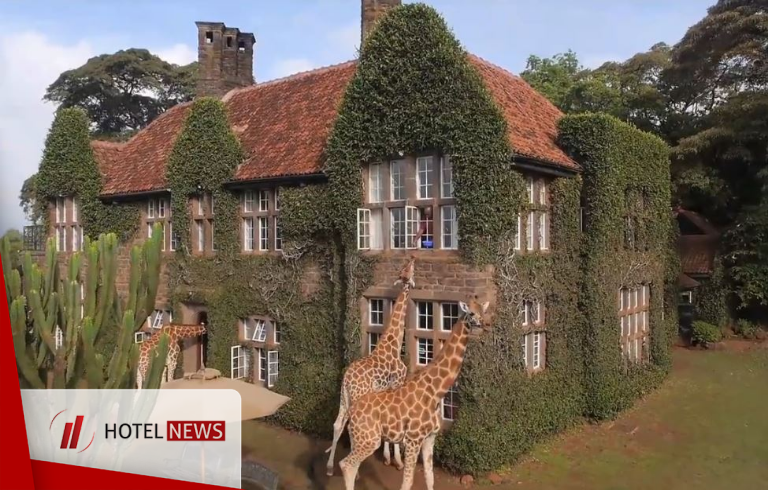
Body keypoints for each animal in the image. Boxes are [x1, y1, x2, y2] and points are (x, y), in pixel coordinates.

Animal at [326, 255, 420, 476]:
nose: (413, 257)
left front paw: (387, 457)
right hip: (357, 398)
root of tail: (347, 381)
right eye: (407, 270)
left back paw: (330, 467)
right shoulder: (397, 384)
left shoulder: (384, 391)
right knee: (348, 425)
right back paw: (356, 470)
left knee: (337, 424)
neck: (393, 343)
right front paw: (397, 461)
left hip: (344, 397)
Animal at [338, 294, 492, 490]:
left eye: (484, 310)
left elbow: (429, 477)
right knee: (346, 464)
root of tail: (351, 412)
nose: (485, 324)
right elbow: (407, 481)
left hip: (359, 437)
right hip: (369, 440)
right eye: (471, 312)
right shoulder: (412, 439)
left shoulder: (430, 438)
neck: (436, 391)